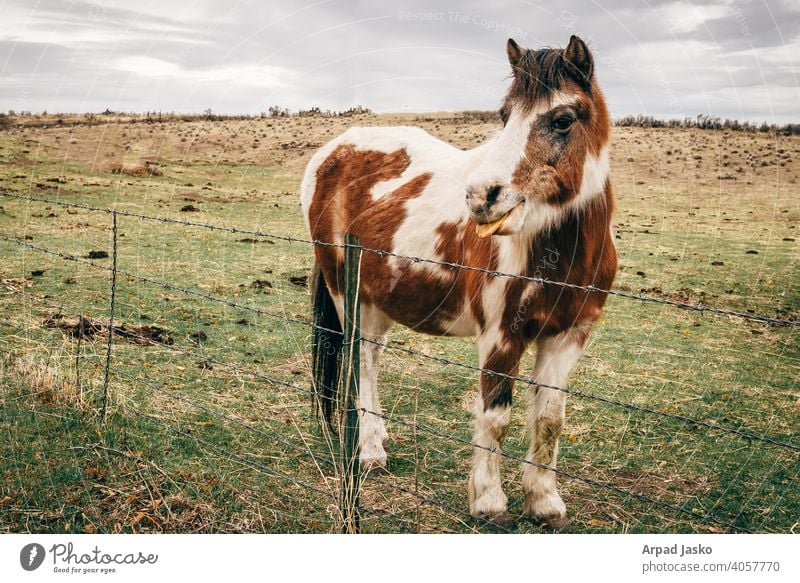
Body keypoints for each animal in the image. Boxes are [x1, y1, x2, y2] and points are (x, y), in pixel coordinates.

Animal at [300, 36, 620, 528]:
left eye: (563, 119)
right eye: (505, 115)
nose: (480, 196)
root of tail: (332, 150)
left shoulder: (569, 336)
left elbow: (550, 419)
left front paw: (545, 502)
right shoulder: (500, 336)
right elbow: (495, 417)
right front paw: (489, 502)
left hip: (376, 298)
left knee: (371, 356)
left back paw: (378, 437)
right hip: (344, 290)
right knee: (360, 362)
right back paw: (370, 452)